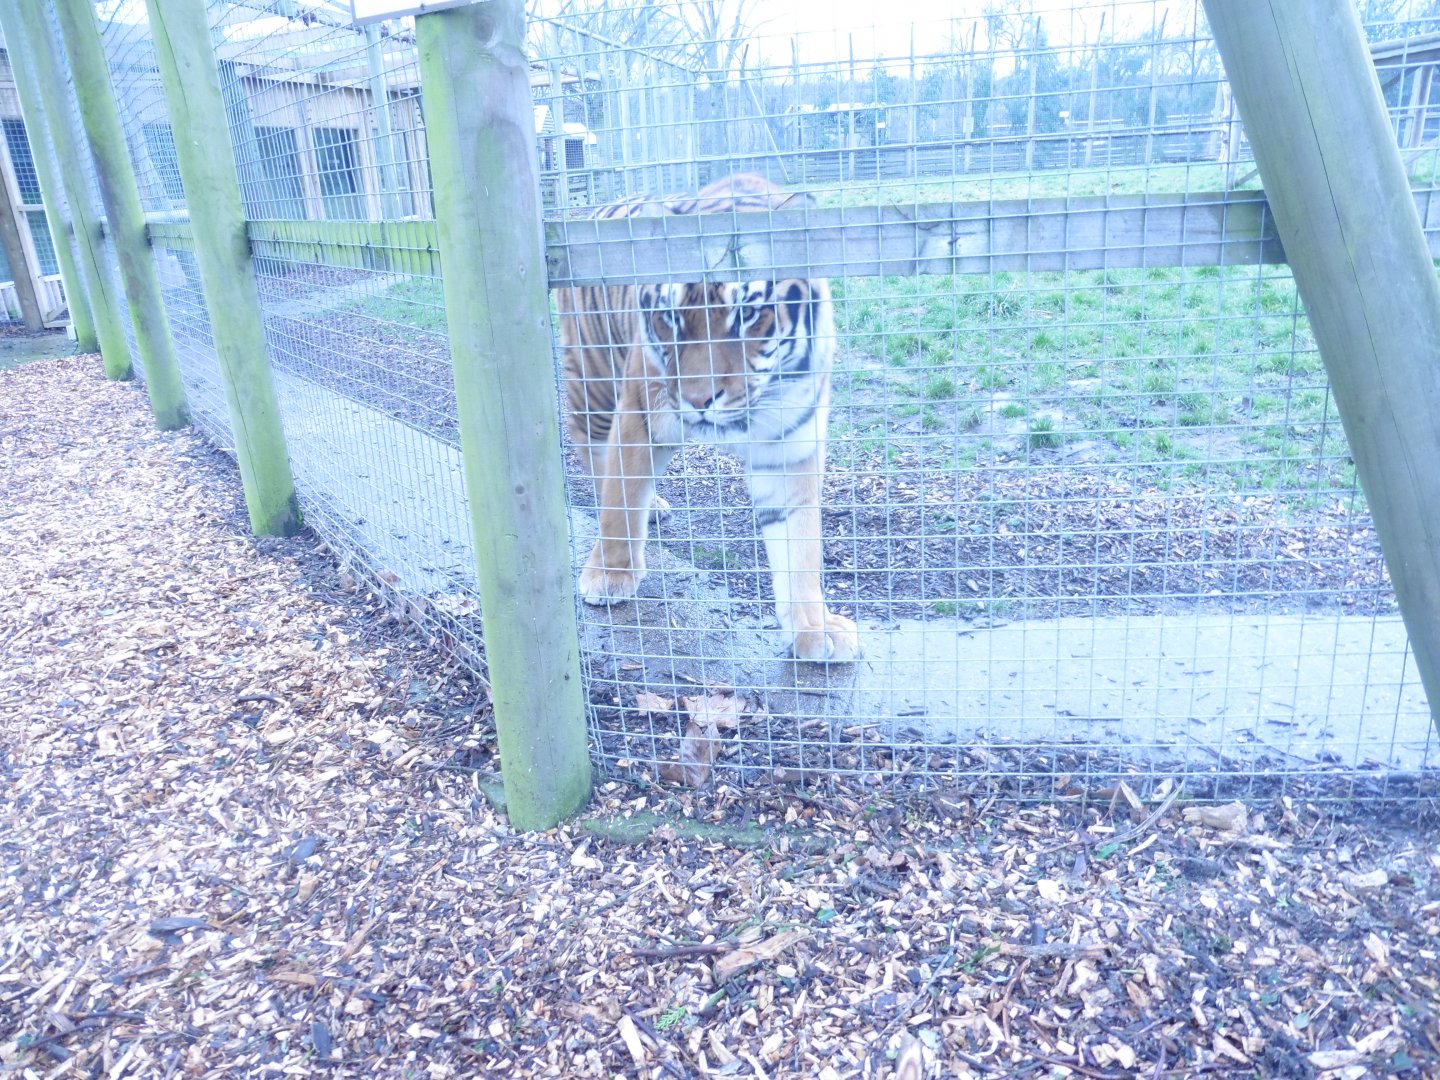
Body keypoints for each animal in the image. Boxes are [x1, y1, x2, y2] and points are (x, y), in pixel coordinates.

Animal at [557, 173, 859, 664]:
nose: (698, 399)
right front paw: (609, 575)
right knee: (595, 455)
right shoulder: (638, 413)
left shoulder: (789, 448)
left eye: (748, 314)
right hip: (595, 380)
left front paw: (815, 628)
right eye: (671, 317)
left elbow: (800, 545)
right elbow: (621, 502)